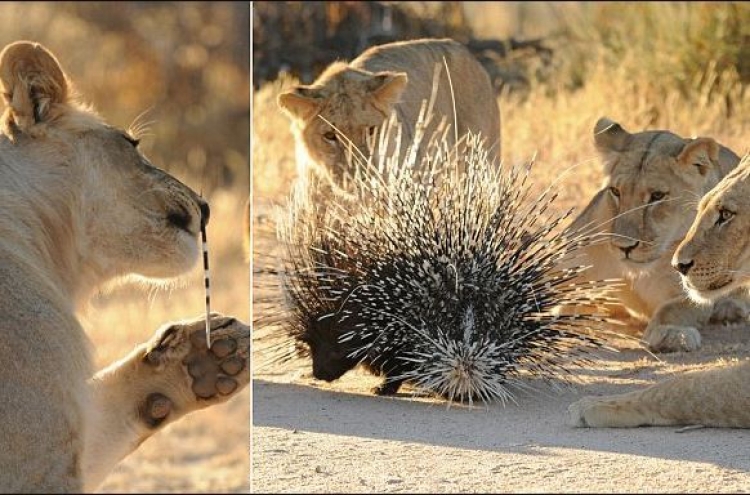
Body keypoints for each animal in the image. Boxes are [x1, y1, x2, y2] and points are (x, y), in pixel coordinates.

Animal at [560, 118, 748, 354]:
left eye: (657, 195)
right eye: (615, 191)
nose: (624, 247)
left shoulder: (692, 284)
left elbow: (674, 309)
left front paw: (671, 334)